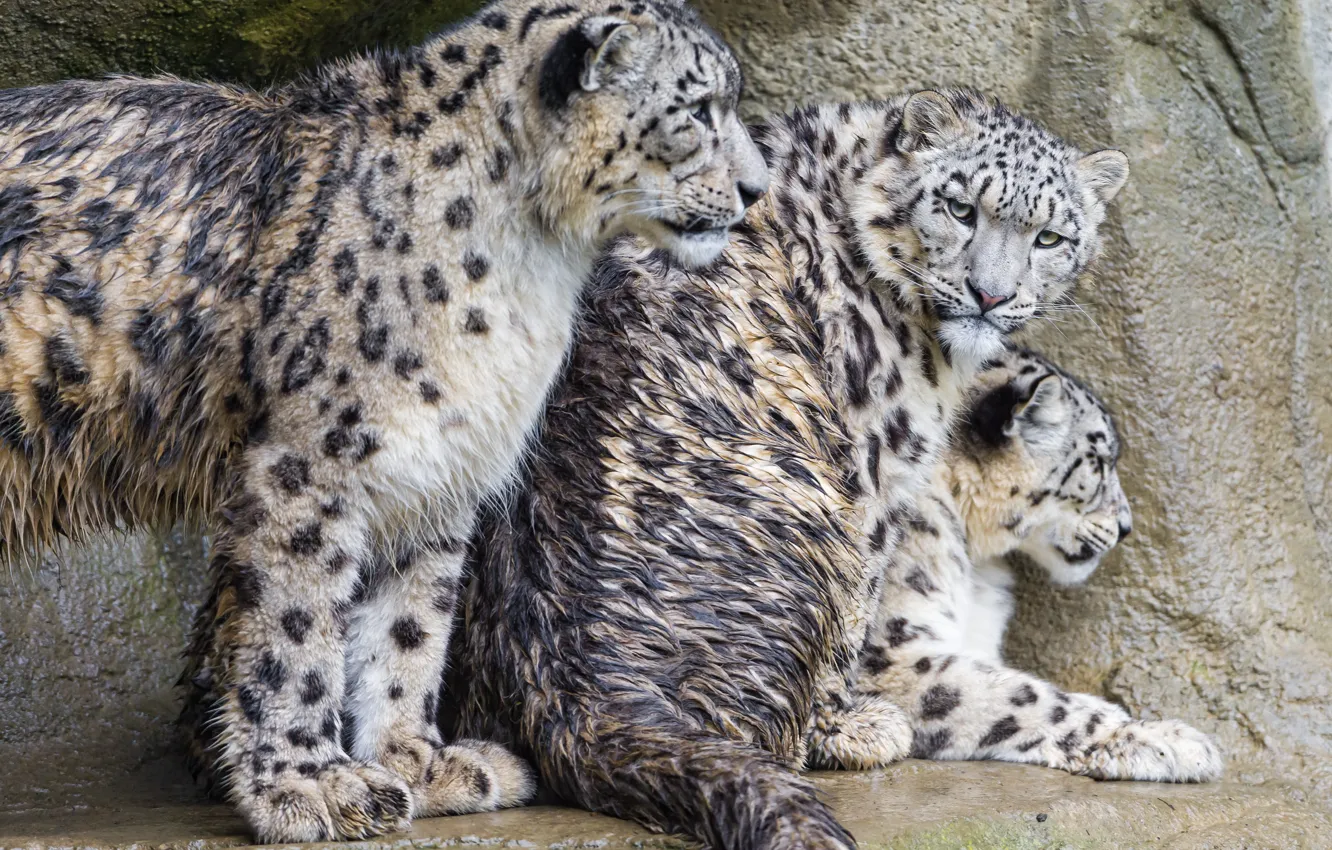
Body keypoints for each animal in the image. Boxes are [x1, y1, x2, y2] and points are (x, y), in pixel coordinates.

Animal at [0, 0, 766, 842]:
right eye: (699, 108)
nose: (756, 189)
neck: (528, 271)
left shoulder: (440, 467)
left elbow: (409, 627)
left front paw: (419, 764)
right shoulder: (312, 460)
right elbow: (298, 626)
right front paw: (310, 785)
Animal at [450, 87, 1131, 850]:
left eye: (1051, 238)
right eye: (961, 208)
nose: (990, 295)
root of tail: (574, 689)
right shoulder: (877, 453)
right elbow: (861, 605)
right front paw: (847, 727)